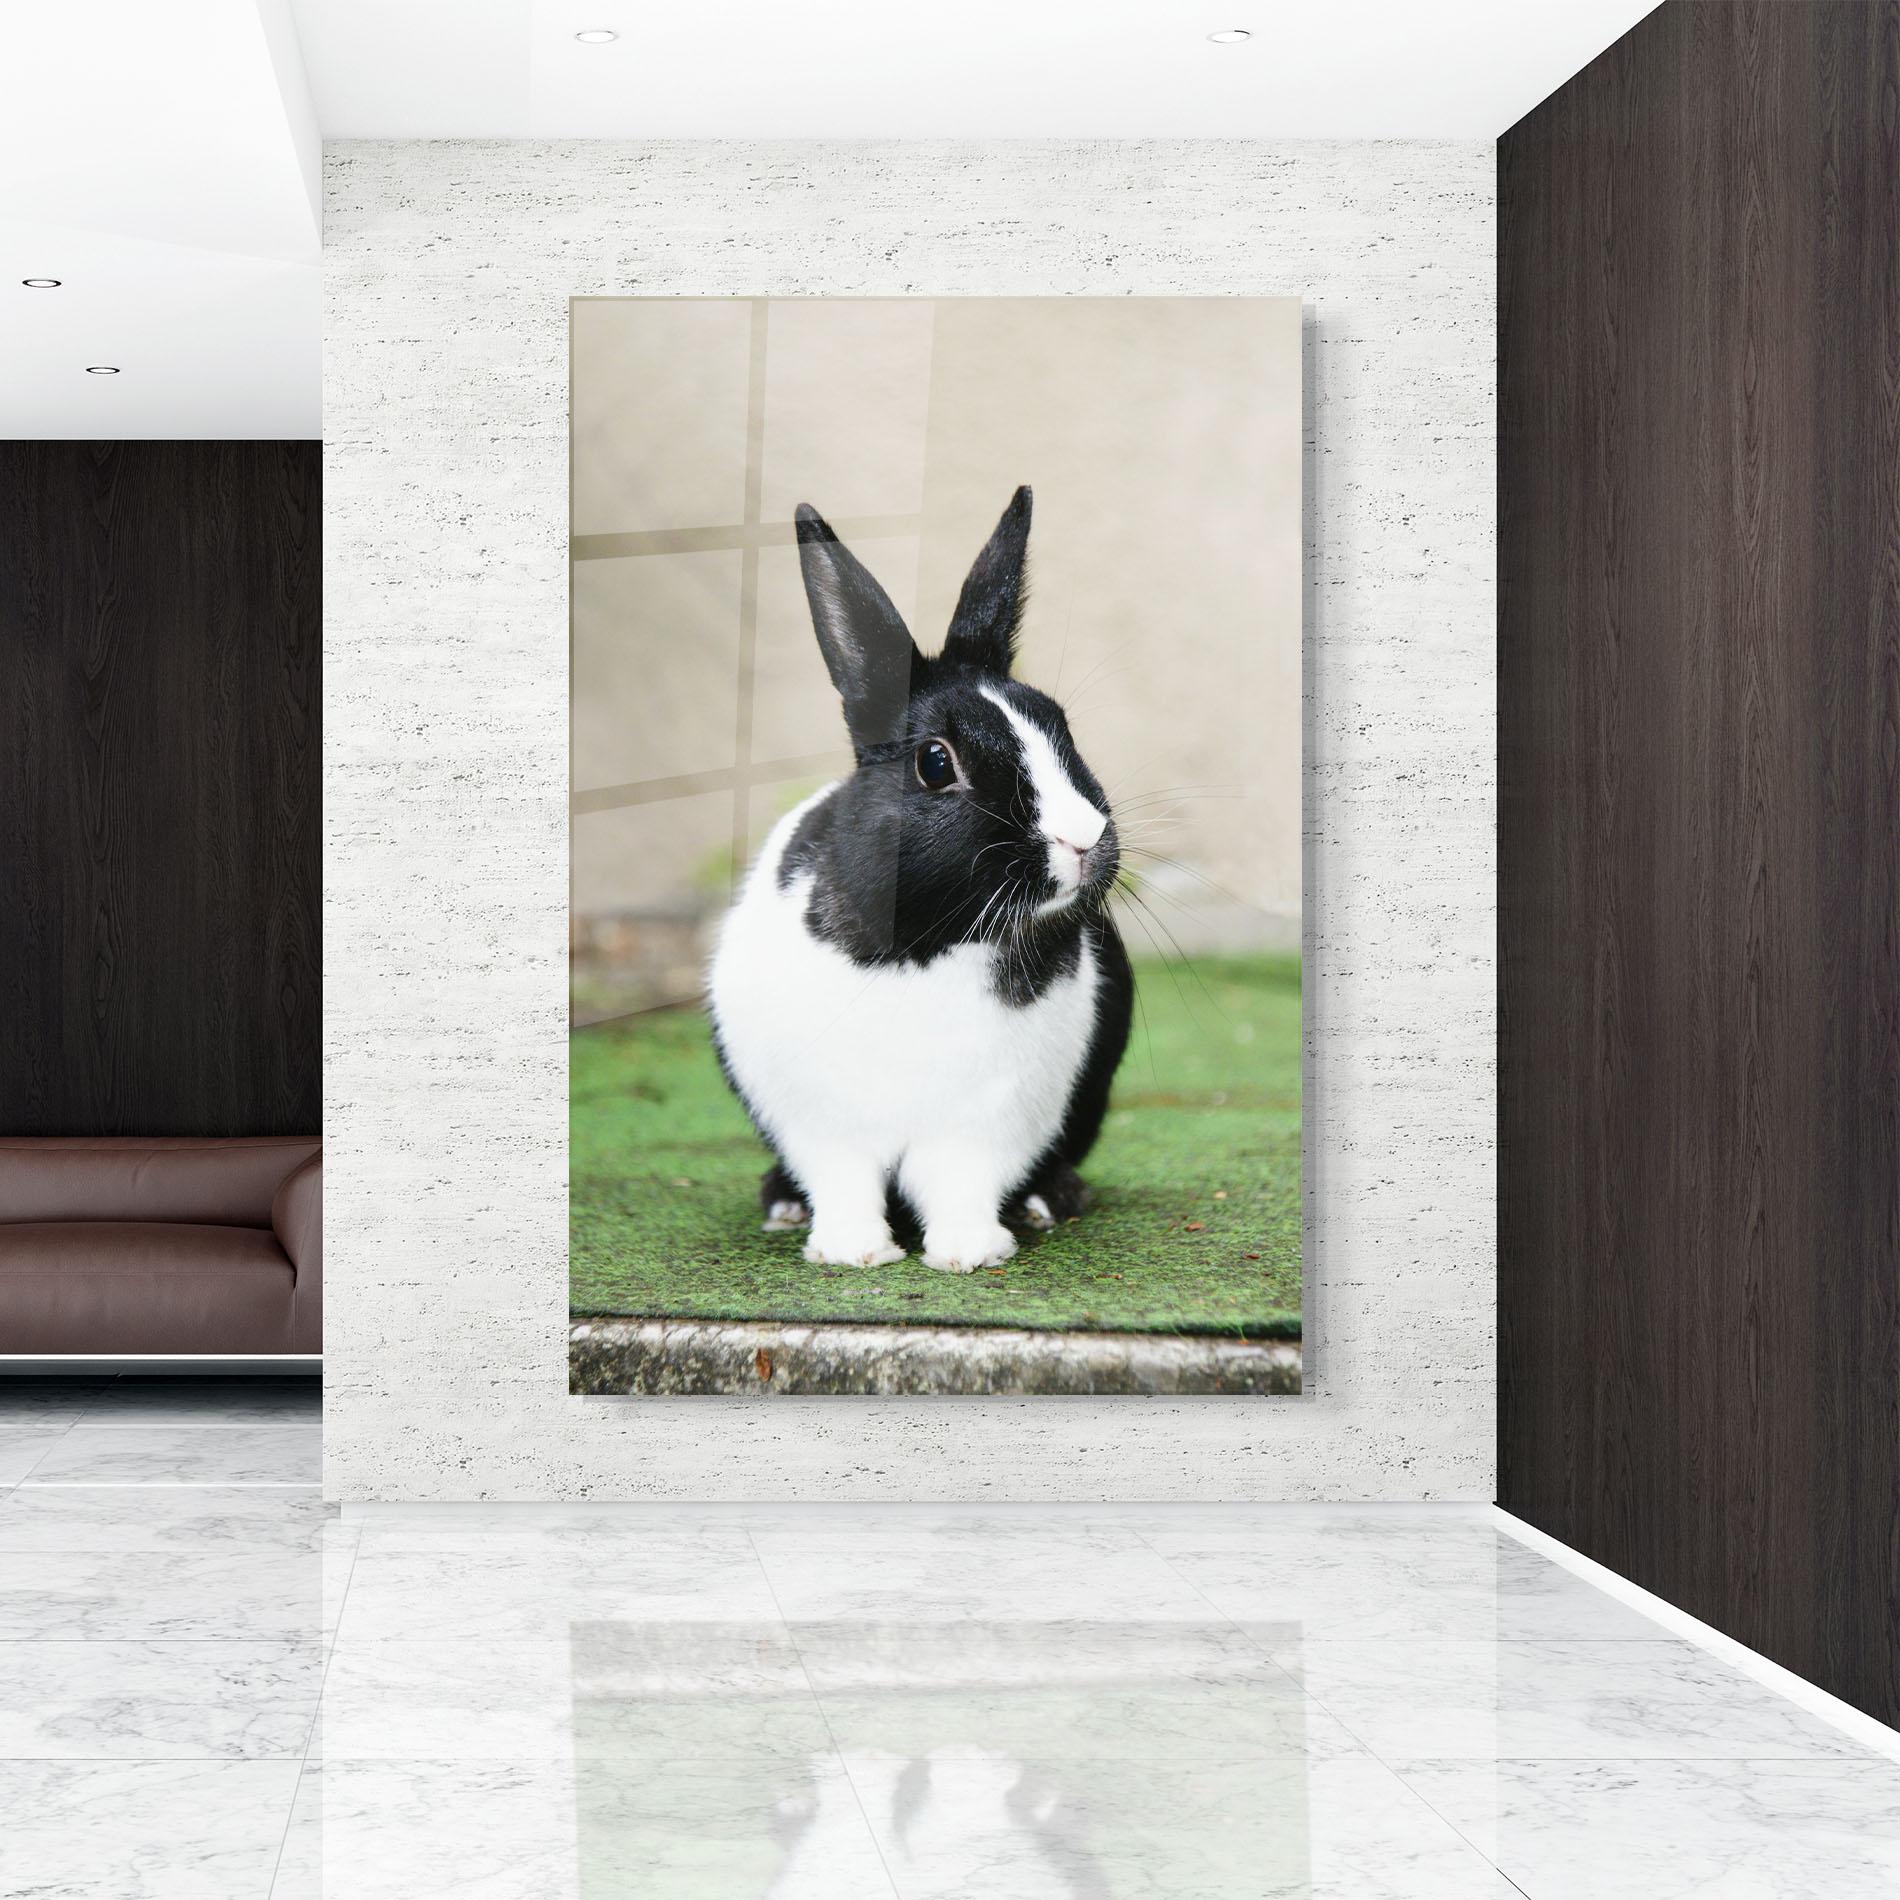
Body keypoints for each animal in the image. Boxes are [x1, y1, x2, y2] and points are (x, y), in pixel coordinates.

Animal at [708, 484, 1132, 1274]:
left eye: (1061, 726)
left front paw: (969, 1253)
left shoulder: (987, 1121)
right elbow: (843, 1182)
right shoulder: (823, 1122)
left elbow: (961, 1183)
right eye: (936, 763)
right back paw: (782, 1205)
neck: (930, 943)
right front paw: (852, 1253)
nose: (1085, 839)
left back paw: (1049, 1200)